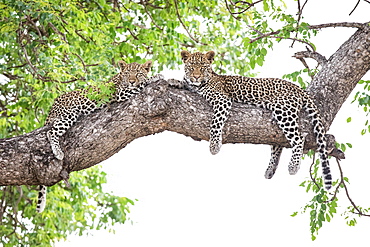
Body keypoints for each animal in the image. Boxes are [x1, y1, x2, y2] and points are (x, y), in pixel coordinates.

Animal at [36, 60, 164, 212]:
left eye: (138, 73)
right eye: (128, 74)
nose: (132, 81)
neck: (120, 78)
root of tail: (52, 107)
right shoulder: (121, 93)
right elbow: (142, 84)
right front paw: (156, 76)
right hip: (69, 114)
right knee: (50, 132)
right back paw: (58, 152)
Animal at [176, 50, 332, 191]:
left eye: (203, 67)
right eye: (191, 67)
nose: (196, 77)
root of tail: (299, 88)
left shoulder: (222, 100)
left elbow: (216, 123)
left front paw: (214, 146)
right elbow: (182, 82)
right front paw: (175, 82)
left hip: (283, 110)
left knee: (299, 138)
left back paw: (293, 166)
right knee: (278, 145)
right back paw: (270, 170)